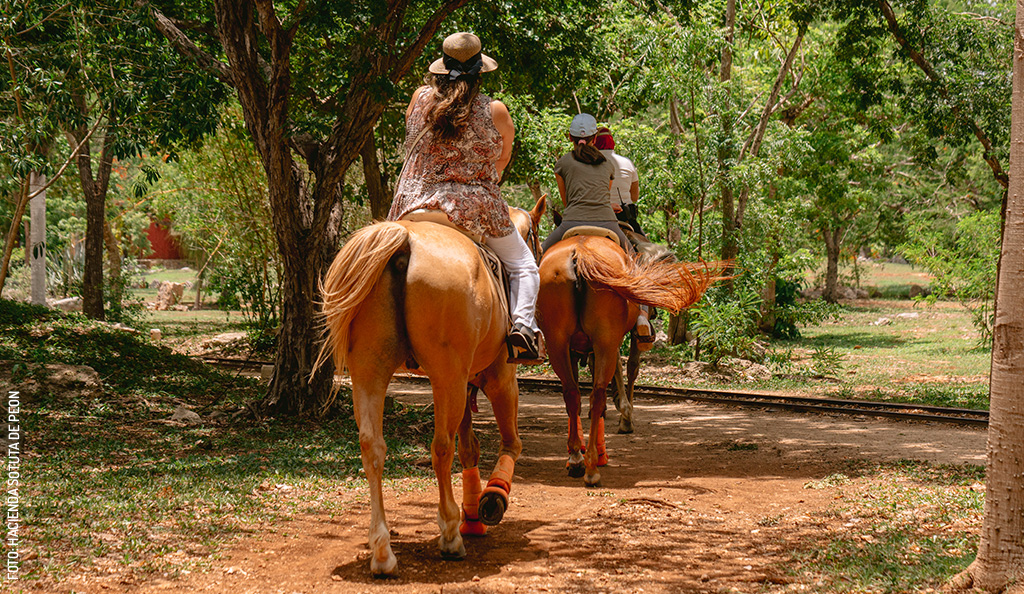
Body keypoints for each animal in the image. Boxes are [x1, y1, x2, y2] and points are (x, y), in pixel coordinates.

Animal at [316, 196, 545, 575]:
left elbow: (470, 448)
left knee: (372, 448)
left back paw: (383, 551)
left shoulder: (466, 382)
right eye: (535, 236)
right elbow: (510, 443)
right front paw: (491, 499)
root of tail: (404, 240)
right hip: (445, 375)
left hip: (371, 372)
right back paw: (449, 533)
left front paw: (473, 515)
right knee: (441, 448)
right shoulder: (500, 377)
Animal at [536, 231, 715, 487]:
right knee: (598, 393)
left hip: (557, 341)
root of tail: (580, 253)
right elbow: (630, 368)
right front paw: (625, 417)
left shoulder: (577, 347)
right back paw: (592, 466)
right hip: (605, 339)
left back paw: (577, 459)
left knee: (573, 394)